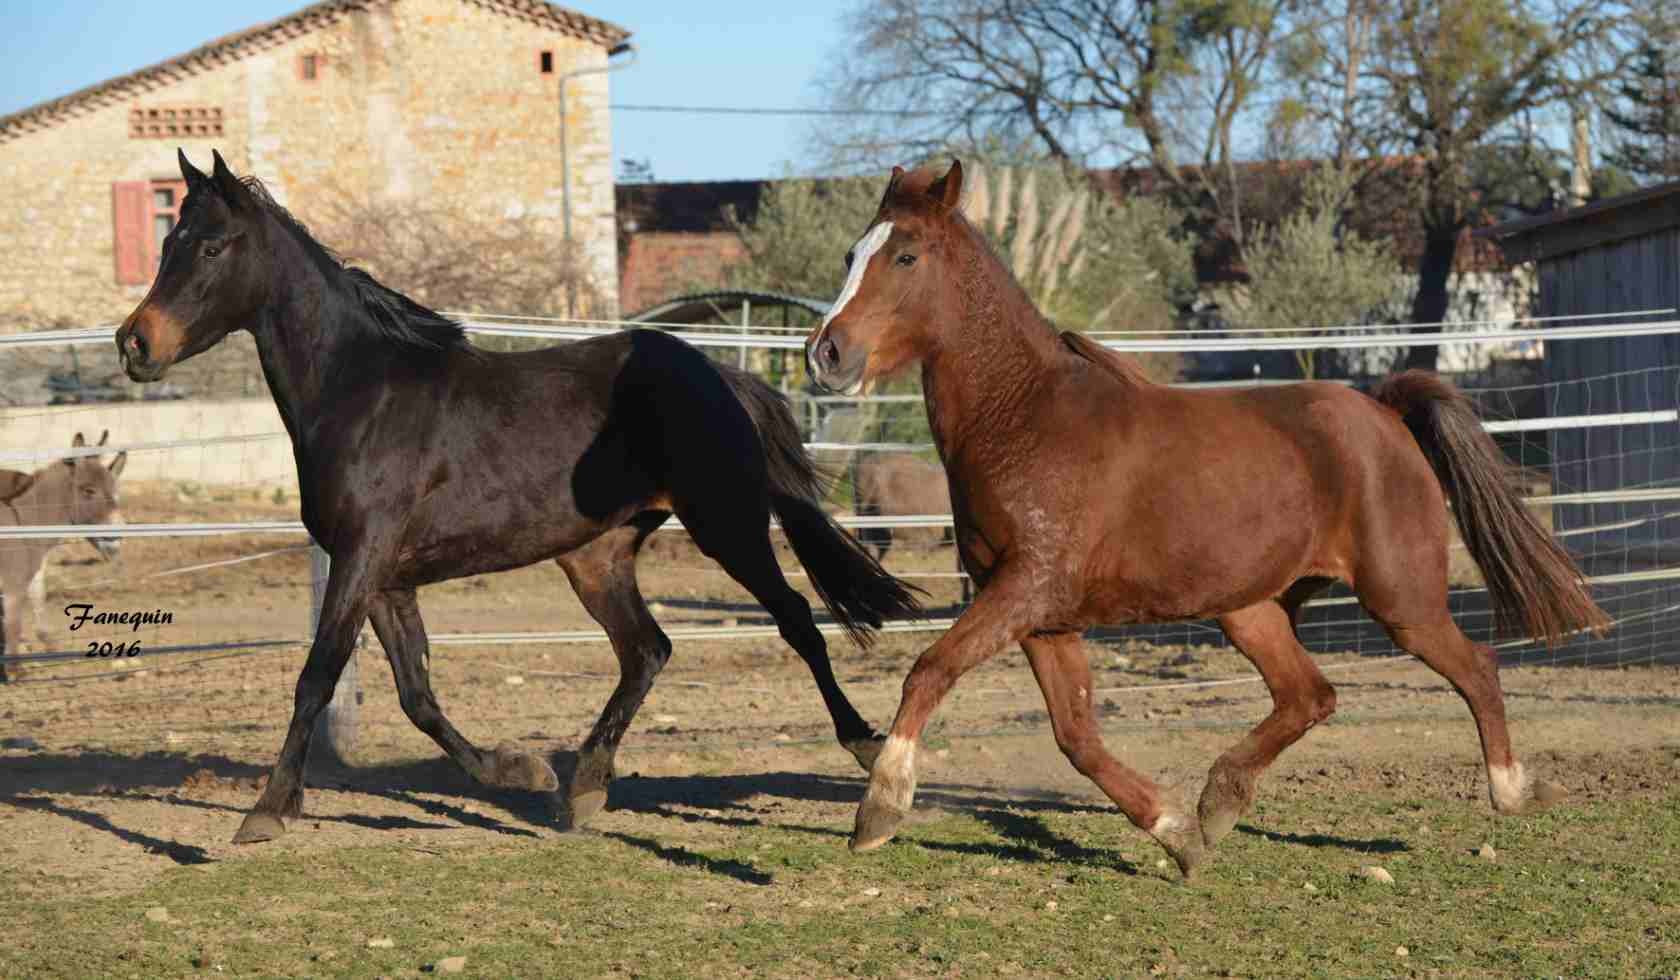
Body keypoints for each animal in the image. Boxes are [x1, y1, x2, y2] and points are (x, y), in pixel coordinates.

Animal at [115, 149, 920, 847]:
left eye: (211, 247)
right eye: (165, 243)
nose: (135, 344)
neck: (360, 392)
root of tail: (717, 372)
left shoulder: (361, 558)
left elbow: (318, 676)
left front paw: (269, 810)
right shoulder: (385, 578)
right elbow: (417, 695)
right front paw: (521, 771)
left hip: (726, 524)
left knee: (796, 622)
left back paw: (862, 747)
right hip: (597, 558)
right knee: (647, 650)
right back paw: (584, 786)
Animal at [806, 163, 1606, 880]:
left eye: (905, 255)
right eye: (849, 253)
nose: (826, 353)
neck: (1025, 419)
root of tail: (1382, 411)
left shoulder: (1024, 588)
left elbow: (930, 669)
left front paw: (878, 809)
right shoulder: (1041, 618)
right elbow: (1076, 737)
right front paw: (1177, 837)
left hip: (1401, 598)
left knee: (1476, 668)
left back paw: (1513, 790)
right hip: (1249, 608)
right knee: (1309, 696)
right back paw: (1218, 803)